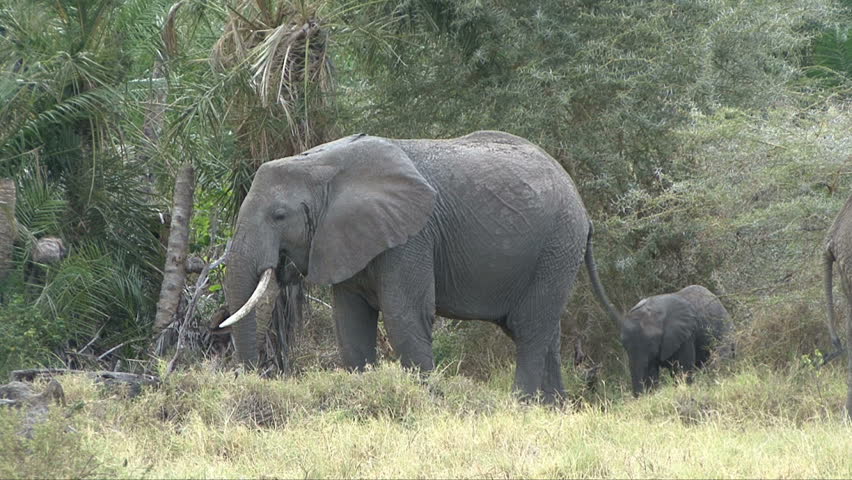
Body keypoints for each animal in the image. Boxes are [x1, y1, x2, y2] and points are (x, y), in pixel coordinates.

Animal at [220, 131, 616, 402]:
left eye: (279, 215)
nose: (253, 381)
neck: (318, 163)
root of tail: (582, 209)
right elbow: (350, 323)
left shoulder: (412, 236)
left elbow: (404, 316)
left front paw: (428, 405)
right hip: (555, 252)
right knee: (546, 329)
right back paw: (555, 408)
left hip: (557, 244)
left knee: (530, 328)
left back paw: (522, 406)